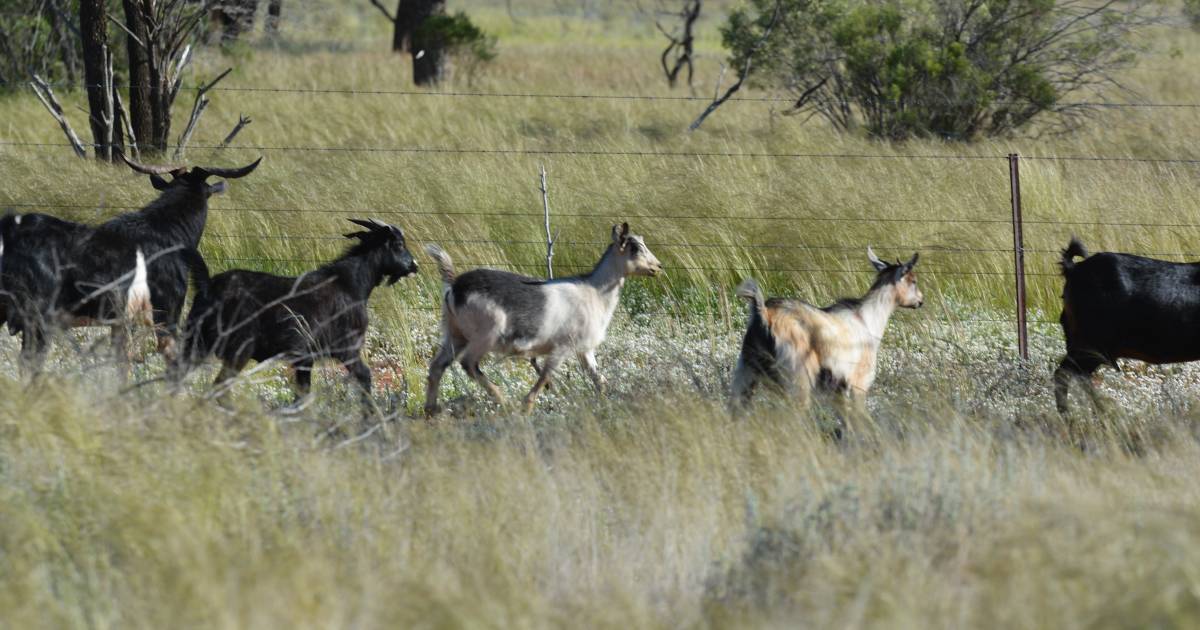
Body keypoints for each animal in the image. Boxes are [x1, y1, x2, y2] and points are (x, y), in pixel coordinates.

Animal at [174, 218, 417, 410]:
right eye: (398, 244)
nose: (413, 266)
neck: (349, 284)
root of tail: (208, 287)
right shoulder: (347, 348)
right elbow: (364, 377)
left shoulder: (304, 358)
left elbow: (302, 395)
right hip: (238, 348)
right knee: (219, 386)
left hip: (197, 341)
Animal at [424, 220, 667, 412]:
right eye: (634, 248)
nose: (658, 267)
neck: (595, 292)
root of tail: (454, 286)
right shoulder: (562, 347)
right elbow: (546, 377)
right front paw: (526, 407)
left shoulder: (584, 349)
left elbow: (599, 380)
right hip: (486, 334)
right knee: (468, 363)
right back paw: (502, 400)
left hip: (455, 333)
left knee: (437, 367)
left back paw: (431, 411)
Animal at [724, 248, 921, 420]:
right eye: (913, 281)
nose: (920, 301)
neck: (867, 319)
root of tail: (765, 314)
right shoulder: (859, 382)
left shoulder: (838, 387)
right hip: (797, 376)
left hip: (747, 369)